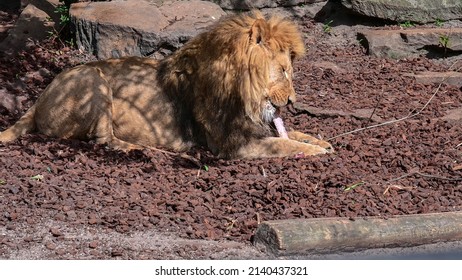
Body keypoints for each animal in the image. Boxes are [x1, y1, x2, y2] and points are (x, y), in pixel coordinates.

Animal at [0, 10, 332, 159]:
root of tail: (38, 100)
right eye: (283, 71)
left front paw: (321, 141)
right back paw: (141, 149)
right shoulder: (234, 144)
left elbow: (293, 133)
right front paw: (316, 151)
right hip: (94, 78)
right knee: (102, 139)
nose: (292, 102)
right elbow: (284, 143)